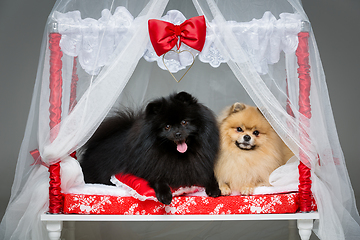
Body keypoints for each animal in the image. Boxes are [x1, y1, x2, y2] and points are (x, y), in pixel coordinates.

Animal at [81, 92, 221, 204]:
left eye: (184, 122)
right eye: (167, 127)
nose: (177, 133)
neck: (178, 155)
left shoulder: (202, 165)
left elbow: (211, 176)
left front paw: (214, 189)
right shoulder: (151, 166)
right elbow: (158, 178)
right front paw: (165, 194)